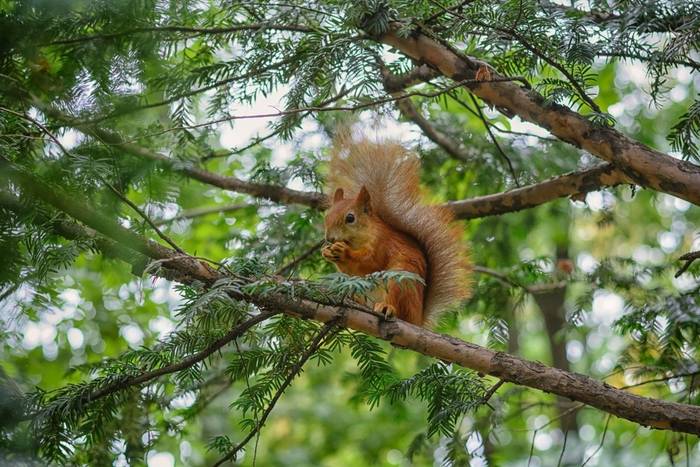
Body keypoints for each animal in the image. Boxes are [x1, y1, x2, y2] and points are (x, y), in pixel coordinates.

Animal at [321, 137, 472, 326]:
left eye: (350, 218)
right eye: (327, 216)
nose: (330, 238)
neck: (360, 237)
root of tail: (417, 319)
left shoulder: (382, 243)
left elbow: (370, 262)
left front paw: (343, 252)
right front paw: (326, 252)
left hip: (399, 281)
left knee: (398, 307)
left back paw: (387, 307)